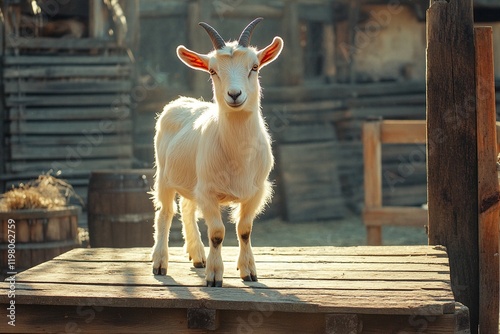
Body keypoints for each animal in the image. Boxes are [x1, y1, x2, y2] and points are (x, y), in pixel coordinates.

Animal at [150, 17, 284, 288]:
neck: (238, 155)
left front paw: (249, 271)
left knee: (187, 208)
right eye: (213, 71)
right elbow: (217, 234)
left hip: (192, 181)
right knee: (165, 213)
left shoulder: (255, 191)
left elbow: (244, 230)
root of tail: (180, 101)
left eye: (254, 67)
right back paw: (160, 263)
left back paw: (197, 256)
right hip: (164, 176)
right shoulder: (209, 192)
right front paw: (214, 276)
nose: (234, 94)